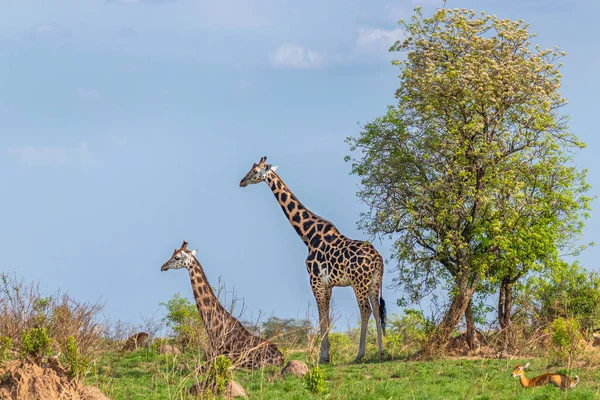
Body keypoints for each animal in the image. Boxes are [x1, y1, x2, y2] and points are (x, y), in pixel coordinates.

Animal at [241, 155, 386, 362]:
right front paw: (327, 354)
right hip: (374, 282)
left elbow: (321, 316)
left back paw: (359, 355)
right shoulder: (327, 284)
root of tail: (378, 259)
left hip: (359, 282)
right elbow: (326, 316)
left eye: (254, 171)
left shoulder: (315, 281)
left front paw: (323, 357)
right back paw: (381, 352)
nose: (242, 182)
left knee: (365, 310)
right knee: (376, 310)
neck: (308, 235)